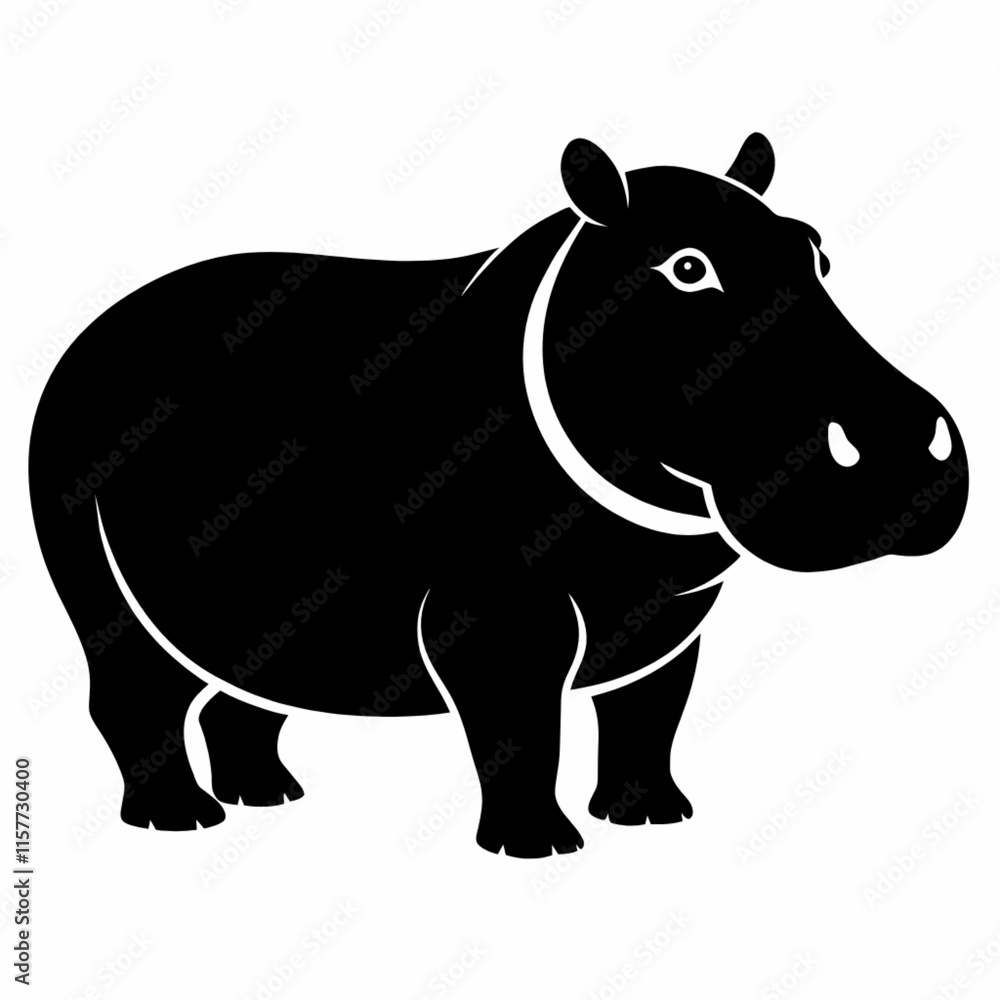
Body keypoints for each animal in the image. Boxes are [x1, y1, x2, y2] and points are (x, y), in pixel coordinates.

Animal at [28, 133, 968, 857]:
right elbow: (519, 730)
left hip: (264, 608)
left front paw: (651, 820)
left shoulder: (670, 612)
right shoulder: (498, 609)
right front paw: (538, 848)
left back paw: (271, 798)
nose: (897, 440)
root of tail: (89, 336)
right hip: (99, 587)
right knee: (132, 695)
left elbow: (648, 716)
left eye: (819, 251)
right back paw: (179, 822)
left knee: (248, 690)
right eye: (687, 267)